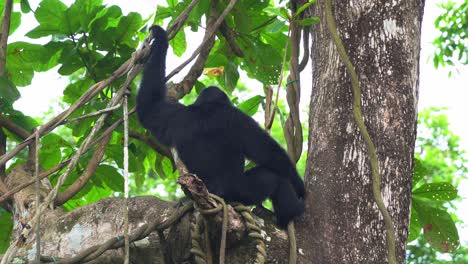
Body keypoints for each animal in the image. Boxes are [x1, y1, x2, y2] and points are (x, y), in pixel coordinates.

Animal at [136, 25, 304, 227]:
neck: (207, 109)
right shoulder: (237, 117)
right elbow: (268, 152)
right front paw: (300, 187)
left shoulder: (173, 116)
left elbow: (148, 108)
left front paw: (159, 37)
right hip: (240, 190)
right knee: (273, 177)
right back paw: (291, 212)